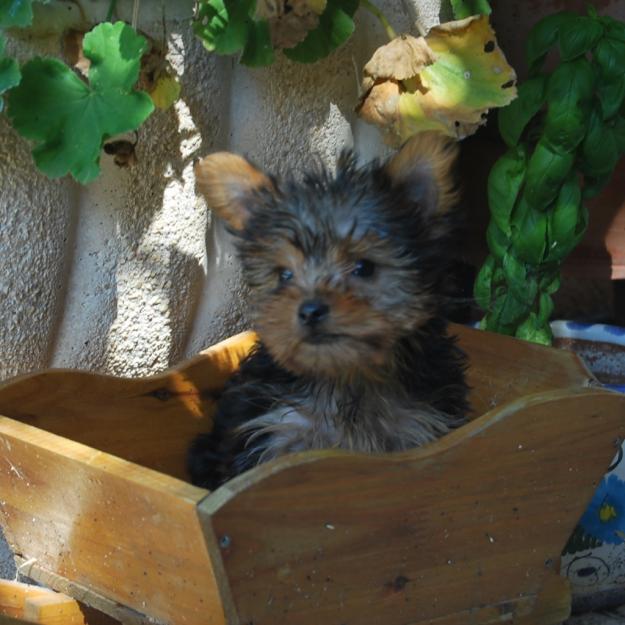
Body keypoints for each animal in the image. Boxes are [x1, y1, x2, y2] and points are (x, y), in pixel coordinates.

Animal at [190, 134, 468, 490]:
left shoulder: (417, 430)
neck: (345, 376)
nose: (310, 310)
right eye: (284, 275)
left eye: (364, 267)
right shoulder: (275, 431)